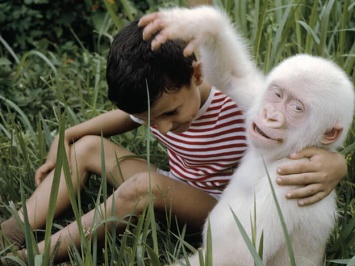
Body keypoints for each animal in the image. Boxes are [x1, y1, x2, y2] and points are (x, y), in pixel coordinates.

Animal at [140, 4, 354, 266]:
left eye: (296, 108)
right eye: (277, 95)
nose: (271, 115)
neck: (280, 156)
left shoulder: (289, 184)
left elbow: (234, 254)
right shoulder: (255, 98)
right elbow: (233, 75)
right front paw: (195, 24)